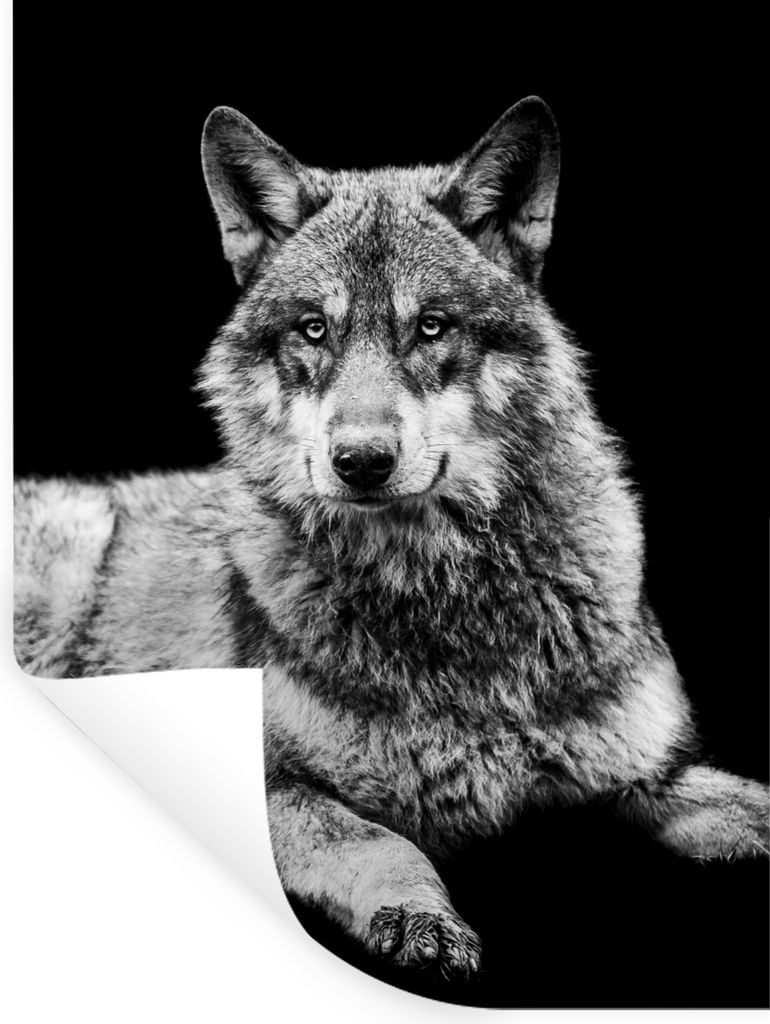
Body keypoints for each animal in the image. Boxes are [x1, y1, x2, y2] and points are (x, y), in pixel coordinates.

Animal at [15, 97, 769, 980]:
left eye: (431, 327)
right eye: (314, 331)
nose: (362, 461)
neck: (443, 599)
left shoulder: (648, 774)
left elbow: (744, 800)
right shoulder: (275, 784)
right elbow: (376, 839)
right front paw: (418, 916)